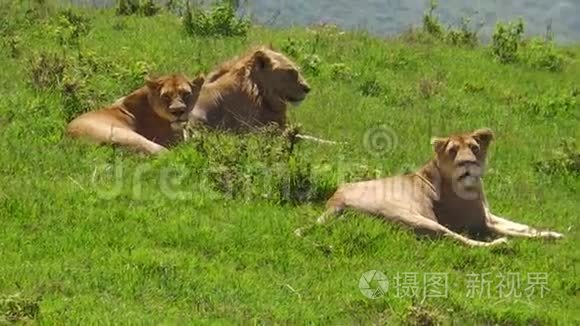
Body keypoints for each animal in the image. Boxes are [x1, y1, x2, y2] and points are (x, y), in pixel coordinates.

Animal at [294, 127, 560, 247]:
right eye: (453, 151)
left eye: (474, 148)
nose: (467, 163)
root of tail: (335, 202)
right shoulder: (480, 225)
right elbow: (515, 232)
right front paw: (545, 237)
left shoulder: (488, 215)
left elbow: (521, 225)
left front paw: (552, 232)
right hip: (417, 219)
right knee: (461, 240)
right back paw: (499, 246)